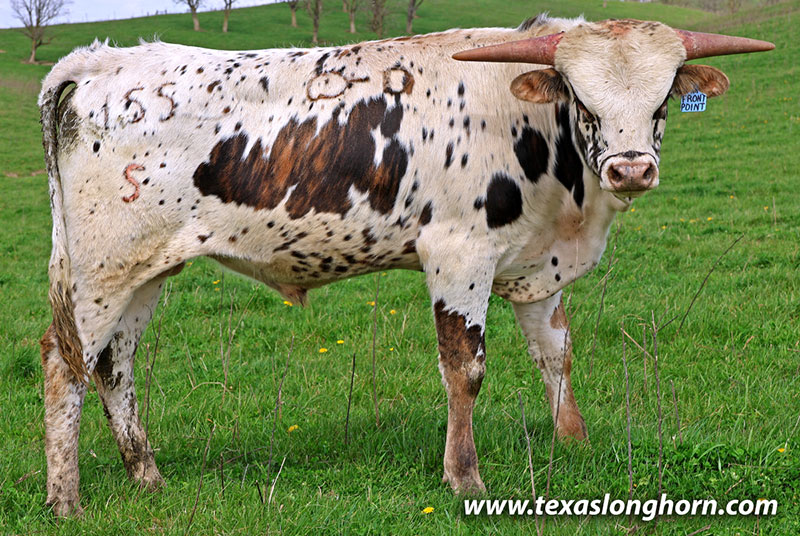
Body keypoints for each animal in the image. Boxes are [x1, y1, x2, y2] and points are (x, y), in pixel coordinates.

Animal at [37, 14, 772, 516]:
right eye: (581, 98)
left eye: (664, 99)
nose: (631, 169)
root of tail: (102, 61)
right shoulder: (458, 256)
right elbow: (465, 370)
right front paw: (464, 476)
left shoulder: (538, 265)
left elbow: (555, 354)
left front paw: (575, 443)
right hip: (98, 271)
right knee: (63, 363)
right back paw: (66, 498)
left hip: (144, 271)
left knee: (115, 365)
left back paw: (147, 476)